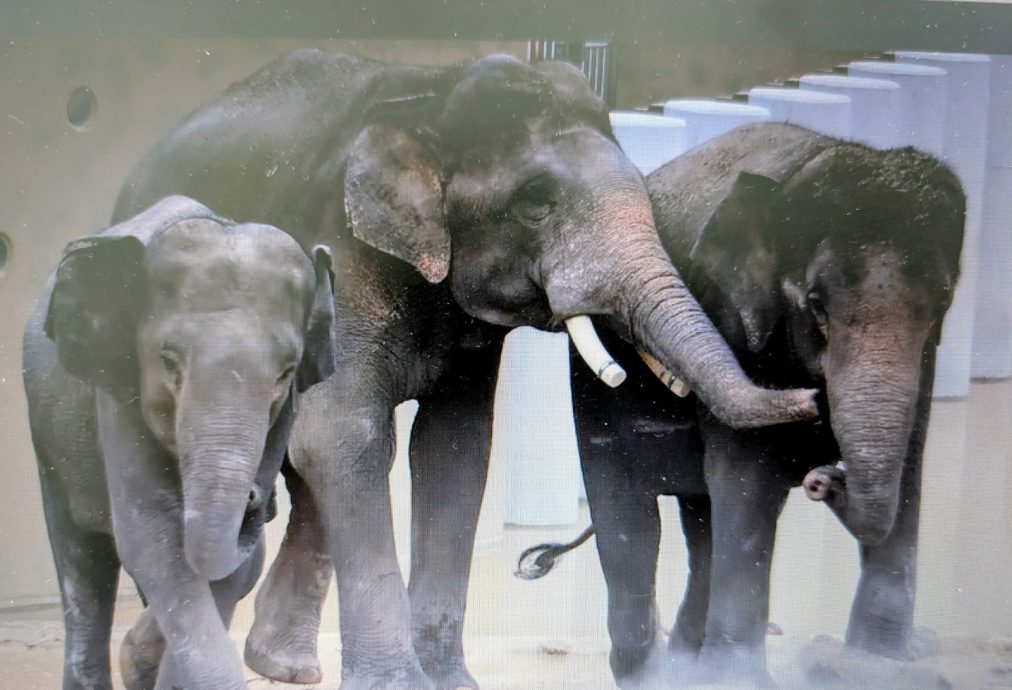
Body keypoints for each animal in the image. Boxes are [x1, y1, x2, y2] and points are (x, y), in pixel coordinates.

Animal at [22, 195, 337, 690]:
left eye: (286, 372)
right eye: (168, 362)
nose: (257, 498)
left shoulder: (285, 414)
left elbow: (216, 567)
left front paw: (145, 663)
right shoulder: (116, 388)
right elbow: (151, 535)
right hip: (47, 436)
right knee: (81, 561)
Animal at [111, 51, 819, 689]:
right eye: (536, 201)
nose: (812, 397)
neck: (434, 97)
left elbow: (453, 447)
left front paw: (450, 683)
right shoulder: (337, 256)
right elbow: (345, 435)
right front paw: (399, 686)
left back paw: (277, 667)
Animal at [521, 123, 966, 687]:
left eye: (941, 304)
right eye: (815, 305)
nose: (825, 475)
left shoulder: (924, 362)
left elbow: (907, 466)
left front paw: (878, 661)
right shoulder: (734, 325)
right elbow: (747, 482)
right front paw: (740, 677)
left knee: (702, 525)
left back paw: (688, 662)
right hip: (595, 382)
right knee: (632, 521)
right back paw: (651, 672)